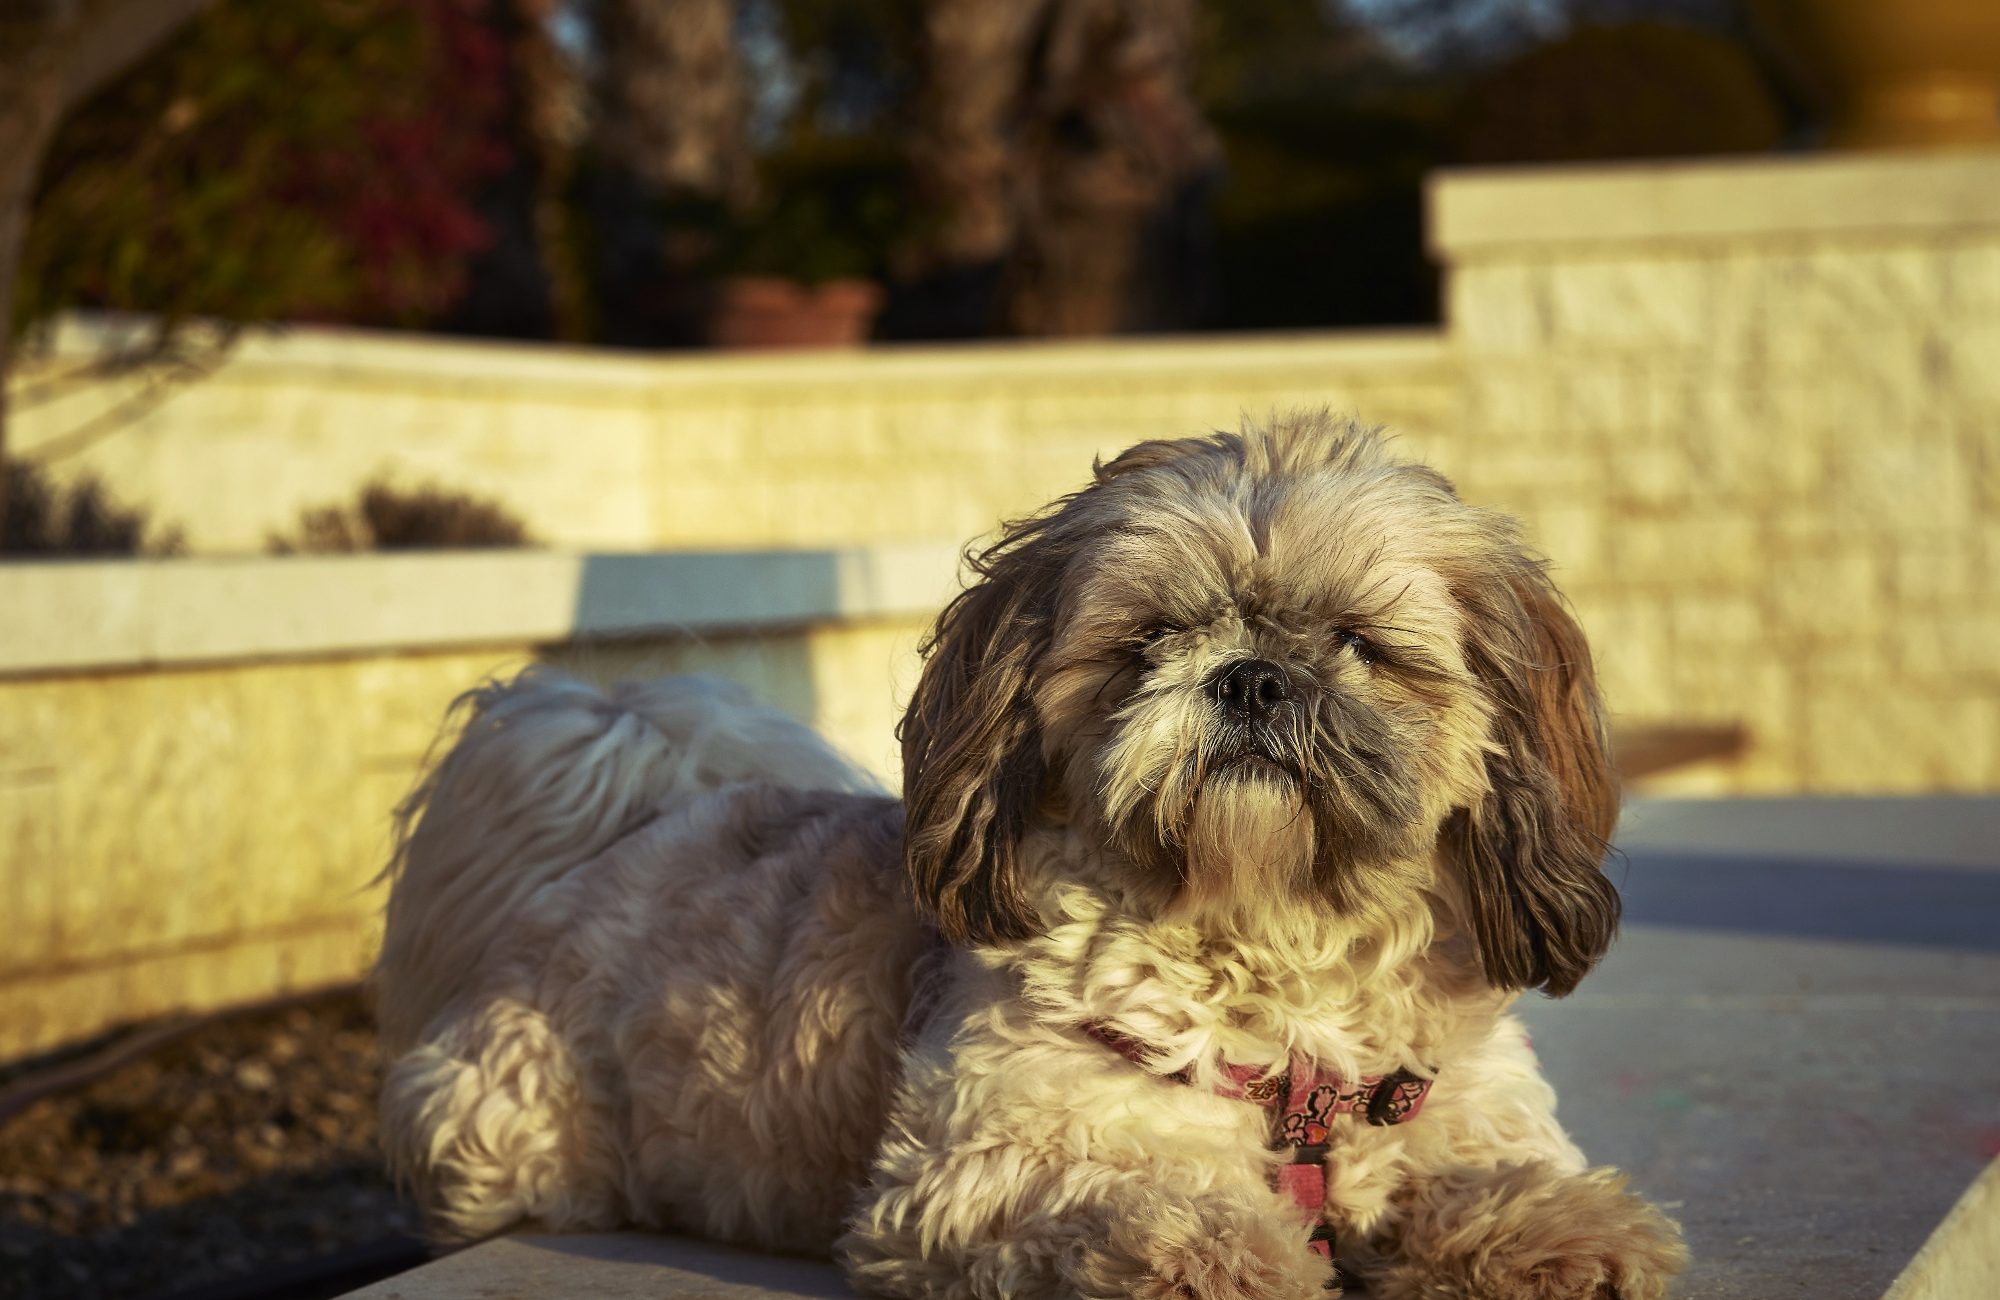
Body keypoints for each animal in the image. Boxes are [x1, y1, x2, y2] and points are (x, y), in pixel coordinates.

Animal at [368, 416, 1680, 1296]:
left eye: (1358, 642)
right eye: (1148, 639)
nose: (1250, 675)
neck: (1270, 956)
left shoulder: (1451, 1102)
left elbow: (1480, 1172)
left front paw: (1552, 1235)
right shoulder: (980, 1167)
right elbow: (1131, 1204)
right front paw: (1224, 1255)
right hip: (511, 1129)